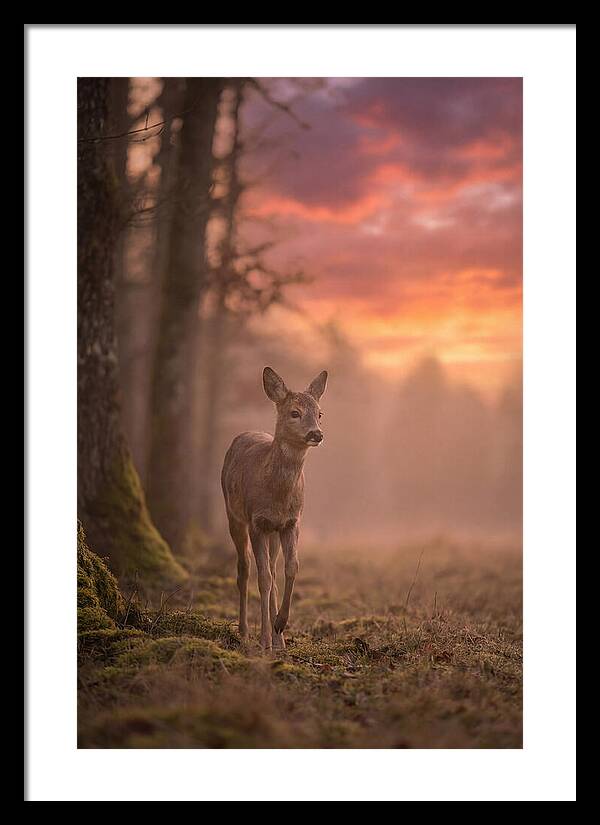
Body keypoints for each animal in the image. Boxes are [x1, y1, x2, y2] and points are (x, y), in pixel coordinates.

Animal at [221, 366, 328, 651]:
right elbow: (264, 579)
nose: (316, 434)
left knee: (271, 566)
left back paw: (279, 639)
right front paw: (264, 640)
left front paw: (280, 624)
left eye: (320, 413)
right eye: (295, 412)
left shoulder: (292, 522)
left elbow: (291, 568)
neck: (277, 497)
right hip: (234, 515)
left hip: (273, 533)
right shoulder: (257, 522)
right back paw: (245, 631)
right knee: (245, 568)